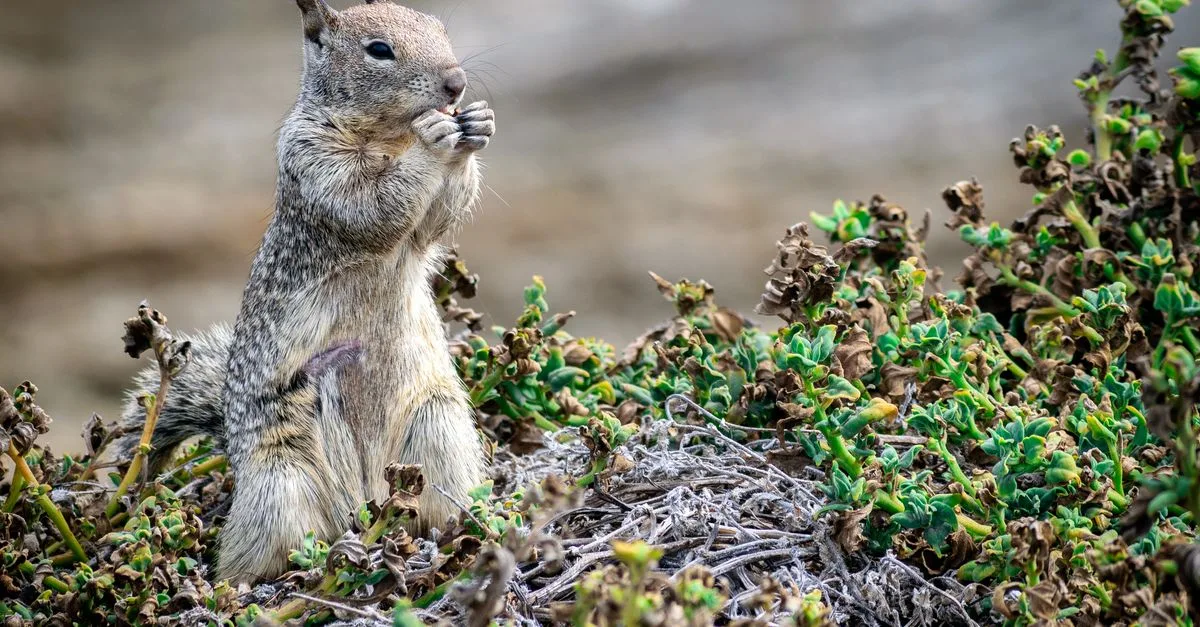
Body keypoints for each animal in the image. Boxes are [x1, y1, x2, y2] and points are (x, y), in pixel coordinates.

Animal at [106, 0, 492, 584]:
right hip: (280, 483)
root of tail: (363, 502)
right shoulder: (313, 162)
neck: (388, 137)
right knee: (252, 558)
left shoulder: (421, 229)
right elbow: (372, 204)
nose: (456, 83)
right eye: (379, 49)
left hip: (439, 429)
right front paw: (434, 139)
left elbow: (435, 219)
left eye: (440, 29)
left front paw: (477, 125)